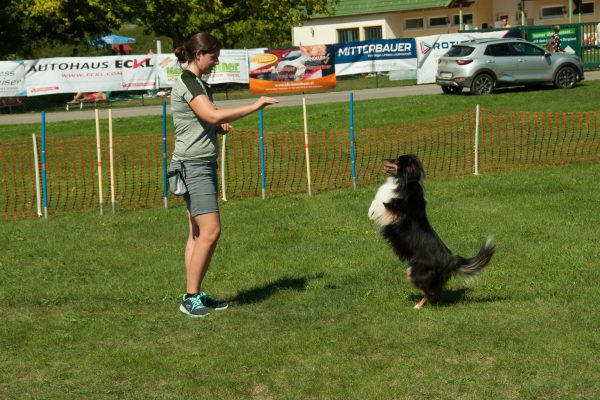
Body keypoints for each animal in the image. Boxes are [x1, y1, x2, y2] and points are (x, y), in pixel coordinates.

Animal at [368, 155, 494, 308]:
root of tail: (450, 259)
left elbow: (379, 203)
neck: (405, 181)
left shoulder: (394, 214)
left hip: (414, 272)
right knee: (436, 291)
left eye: (397, 161)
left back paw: (419, 305)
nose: (383, 159)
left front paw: (371, 210)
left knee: (430, 290)